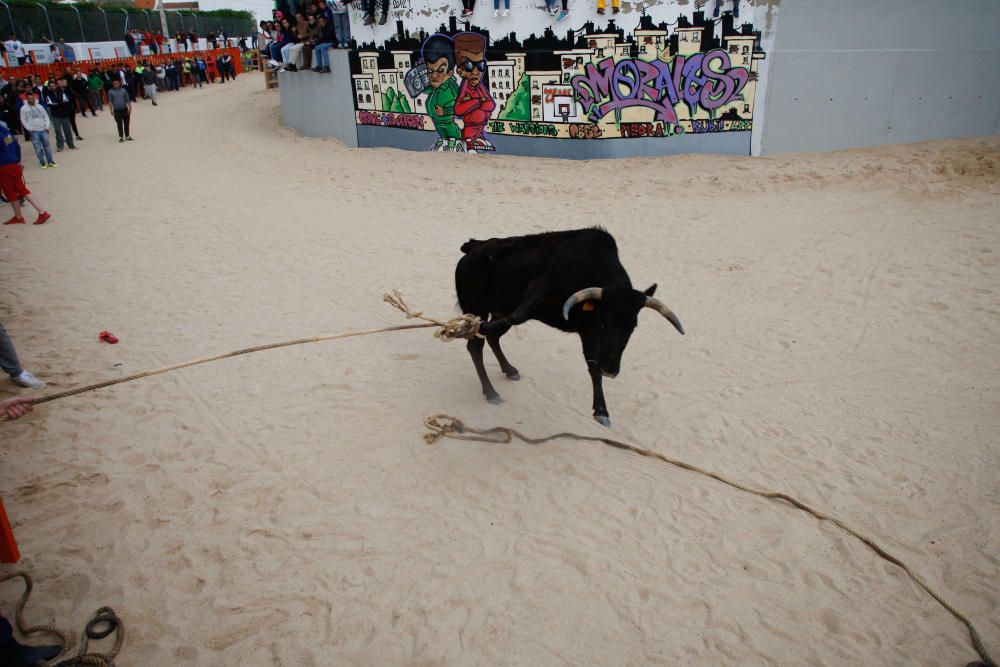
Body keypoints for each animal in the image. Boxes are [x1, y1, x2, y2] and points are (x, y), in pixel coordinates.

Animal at [456, 228, 684, 428]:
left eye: (632, 327)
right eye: (604, 323)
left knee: (493, 339)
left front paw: (601, 411)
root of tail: (474, 248)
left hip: (498, 307)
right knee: (476, 346)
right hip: (477, 305)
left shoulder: (588, 331)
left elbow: (593, 367)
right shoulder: (543, 286)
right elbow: (519, 315)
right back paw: (491, 392)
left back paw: (509, 370)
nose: (610, 370)